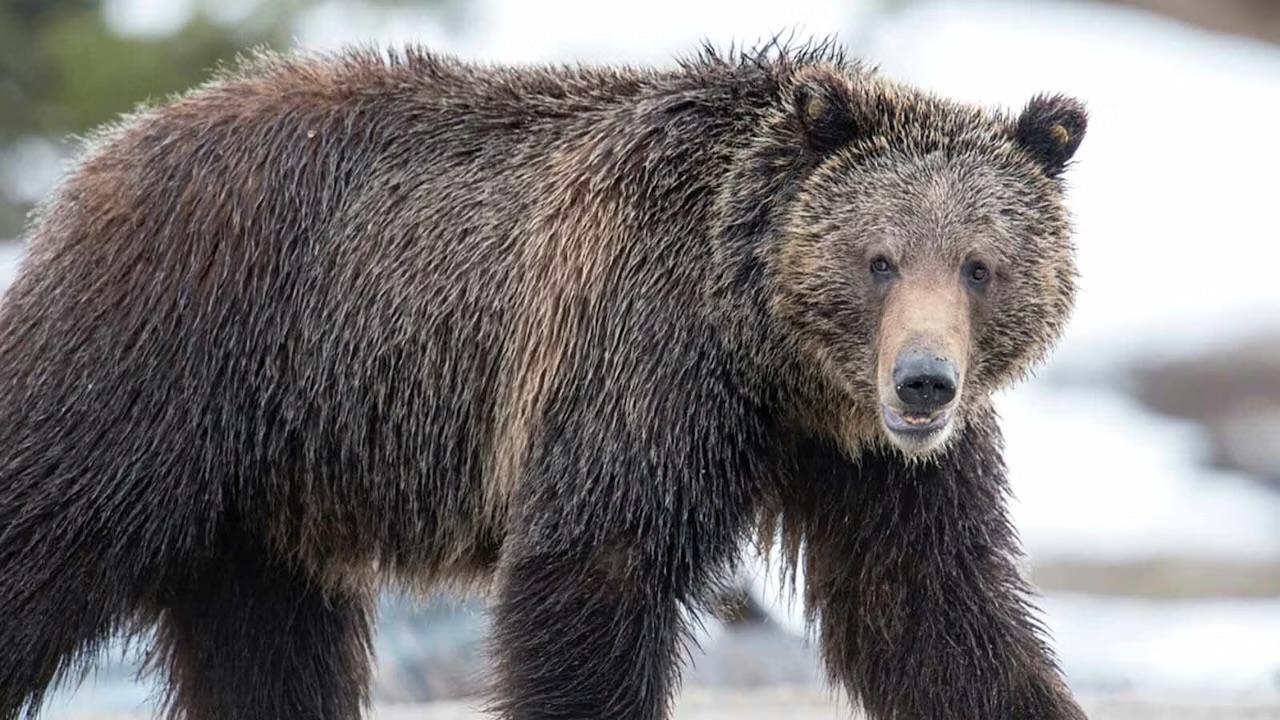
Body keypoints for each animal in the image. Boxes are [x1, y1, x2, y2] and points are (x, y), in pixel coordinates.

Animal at [0, 39, 1088, 720]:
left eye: (980, 265)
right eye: (879, 260)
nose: (922, 384)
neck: (768, 355)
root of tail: (106, 150)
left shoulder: (869, 465)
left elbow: (933, 610)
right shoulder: (637, 364)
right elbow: (594, 570)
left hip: (268, 486)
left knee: (269, 645)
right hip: (159, 358)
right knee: (45, 525)